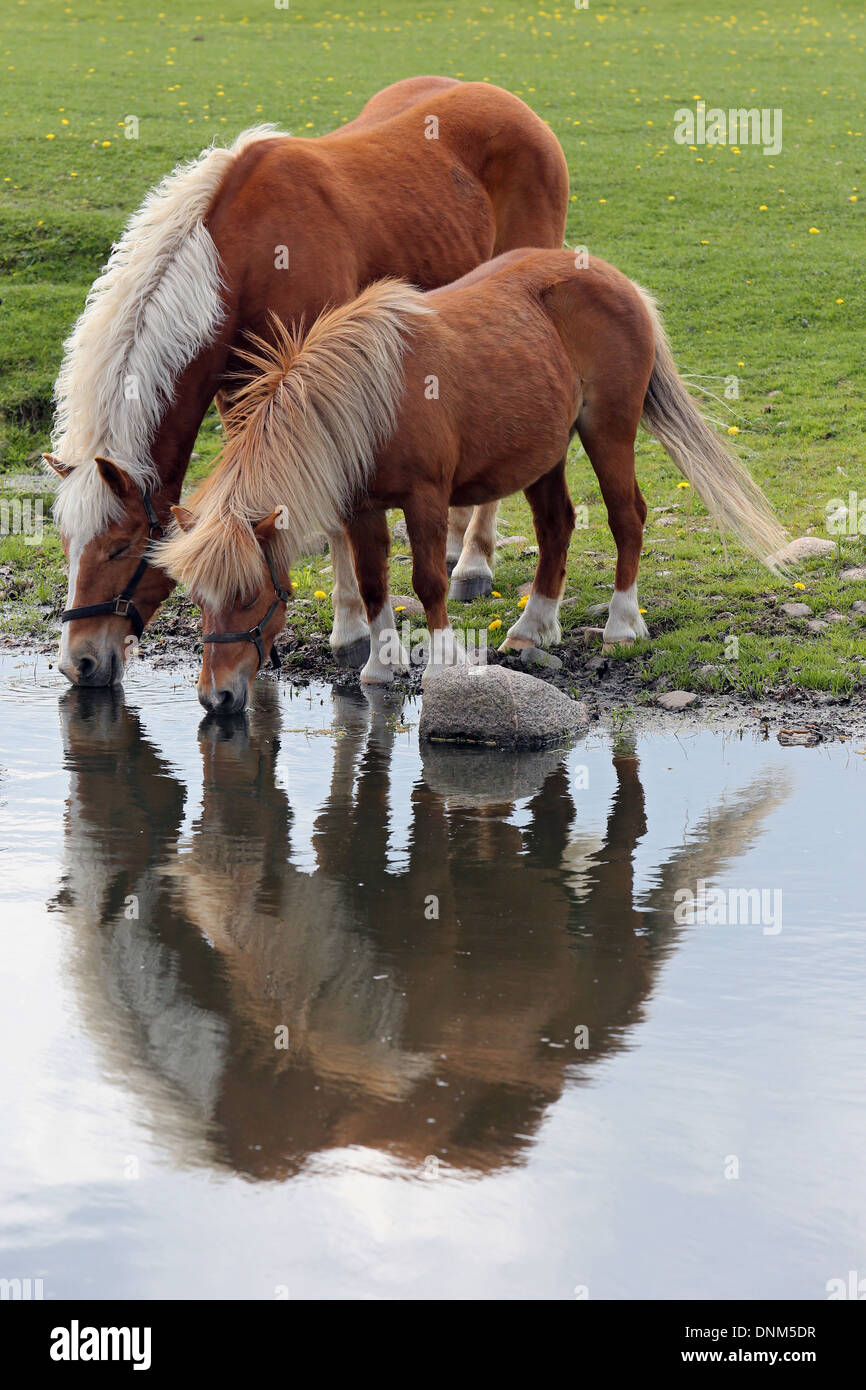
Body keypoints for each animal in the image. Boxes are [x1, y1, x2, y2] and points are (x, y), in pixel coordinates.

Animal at [45, 77, 569, 683]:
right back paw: (459, 543)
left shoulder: (331, 394)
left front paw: (352, 632)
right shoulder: (242, 399)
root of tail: (503, 99)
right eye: (68, 543)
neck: (245, 259)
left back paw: (475, 560)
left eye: (120, 547)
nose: (79, 662)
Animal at [159, 243, 789, 711]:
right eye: (196, 598)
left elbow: (429, 583)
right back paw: (533, 627)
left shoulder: (426, 498)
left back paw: (622, 623)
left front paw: (441, 663)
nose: (215, 698)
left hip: (608, 432)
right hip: (544, 454)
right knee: (557, 526)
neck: (371, 399)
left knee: (626, 517)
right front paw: (380, 665)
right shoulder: (362, 507)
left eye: (249, 595)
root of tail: (617, 281)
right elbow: (373, 583)